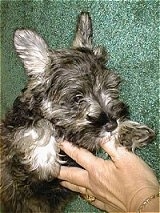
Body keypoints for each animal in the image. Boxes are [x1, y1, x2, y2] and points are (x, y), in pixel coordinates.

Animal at [0, 12, 155, 213]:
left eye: (109, 88)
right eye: (77, 97)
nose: (112, 124)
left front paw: (130, 130)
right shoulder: (13, 128)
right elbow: (41, 123)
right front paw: (44, 161)